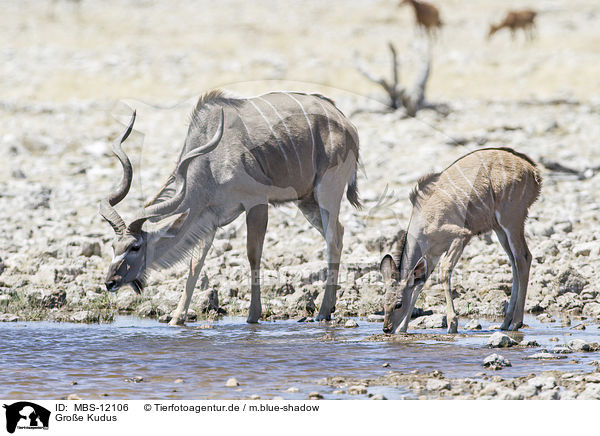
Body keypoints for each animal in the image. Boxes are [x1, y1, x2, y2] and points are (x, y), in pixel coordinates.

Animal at [100, 90, 358, 326]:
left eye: (135, 246)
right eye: (113, 246)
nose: (110, 282)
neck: (211, 162)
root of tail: (346, 124)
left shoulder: (257, 202)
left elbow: (253, 255)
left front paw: (253, 316)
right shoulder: (208, 218)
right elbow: (196, 264)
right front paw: (176, 318)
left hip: (327, 192)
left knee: (333, 239)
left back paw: (323, 312)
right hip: (306, 201)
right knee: (339, 232)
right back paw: (329, 308)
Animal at [382, 147, 540, 334]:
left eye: (398, 304)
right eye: (384, 303)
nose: (386, 328)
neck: (422, 221)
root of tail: (533, 171)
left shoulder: (461, 236)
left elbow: (445, 271)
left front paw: (452, 324)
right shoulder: (432, 255)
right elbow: (420, 284)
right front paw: (403, 328)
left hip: (511, 219)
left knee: (524, 258)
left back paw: (516, 322)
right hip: (500, 229)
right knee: (514, 262)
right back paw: (505, 322)